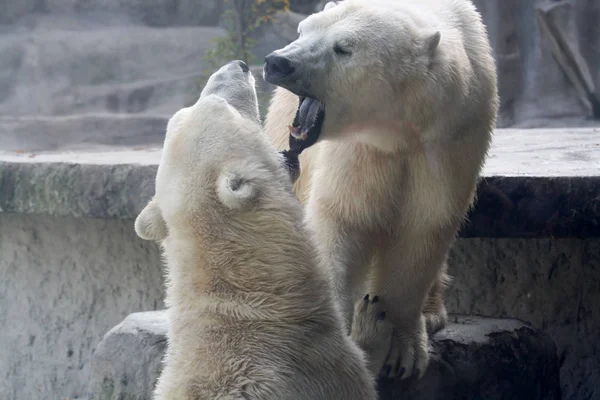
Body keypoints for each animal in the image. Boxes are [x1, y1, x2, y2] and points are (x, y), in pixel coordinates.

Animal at [134, 60, 384, 400]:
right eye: (224, 105)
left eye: (185, 111)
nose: (239, 65)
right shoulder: (323, 365)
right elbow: (361, 371)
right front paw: (372, 322)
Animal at [264, 0, 500, 382]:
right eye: (303, 31)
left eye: (343, 48)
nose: (279, 62)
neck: (399, 131)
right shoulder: (361, 150)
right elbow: (344, 218)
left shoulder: (448, 141)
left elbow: (422, 229)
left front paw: (402, 350)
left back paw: (431, 312)